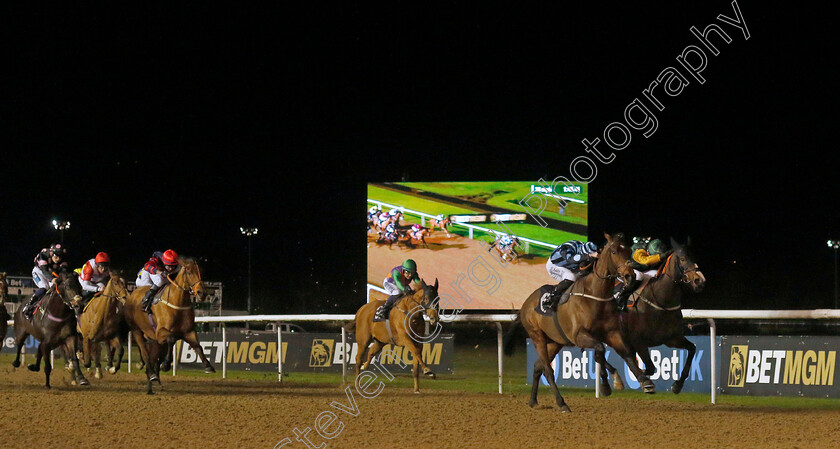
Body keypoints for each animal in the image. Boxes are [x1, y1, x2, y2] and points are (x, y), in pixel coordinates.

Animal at [125, 258, 218, 394]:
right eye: (189, 272)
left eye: (202, 271)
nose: (202, 292)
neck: (177, 302)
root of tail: (133, 293)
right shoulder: (161, 332)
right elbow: (171, 339)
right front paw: (166, 364)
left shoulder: (188, 332)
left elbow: (198, 346)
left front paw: (208, 366)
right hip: (137, 331)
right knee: (145, 353)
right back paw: (152, 375)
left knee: (154, 355)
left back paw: (154, 380)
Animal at [506, 233, 656, 412]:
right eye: (614, 251)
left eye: (628, 250)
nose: (630, 276)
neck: (595, 296)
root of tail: (525, 305)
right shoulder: (579, 336)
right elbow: (600, 350)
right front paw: (606, 385)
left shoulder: (612, 333)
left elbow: (626, 354)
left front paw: (644, 381)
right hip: (537, 337)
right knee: (548, 370)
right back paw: (562, 403)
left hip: (555, 341)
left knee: (538, 366)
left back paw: (533, 400)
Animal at [600, 238, 704, 392]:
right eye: (683, 259)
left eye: (695, 258)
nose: (700, 281)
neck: (661, 301)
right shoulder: (638, 342)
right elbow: (649, 367)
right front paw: (643, 379)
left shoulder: (672, 338)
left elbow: (692, 349)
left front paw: (677, 385)